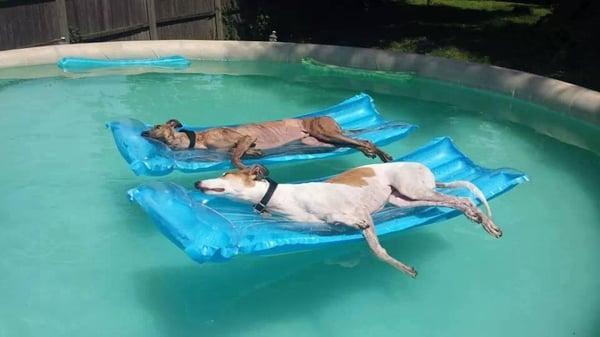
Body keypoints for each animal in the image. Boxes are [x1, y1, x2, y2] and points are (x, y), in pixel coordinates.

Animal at [195, 163, 500, 276]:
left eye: (225, 175)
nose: (197, 183)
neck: (284, 197)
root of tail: (426, 169)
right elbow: (374, 247)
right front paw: (402, 267)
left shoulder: (360, 212)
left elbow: (372, 245)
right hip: (405, 199)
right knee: (459, 201)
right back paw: (478, 219)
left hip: (416, 189)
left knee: (463, 200)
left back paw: (485, 222)